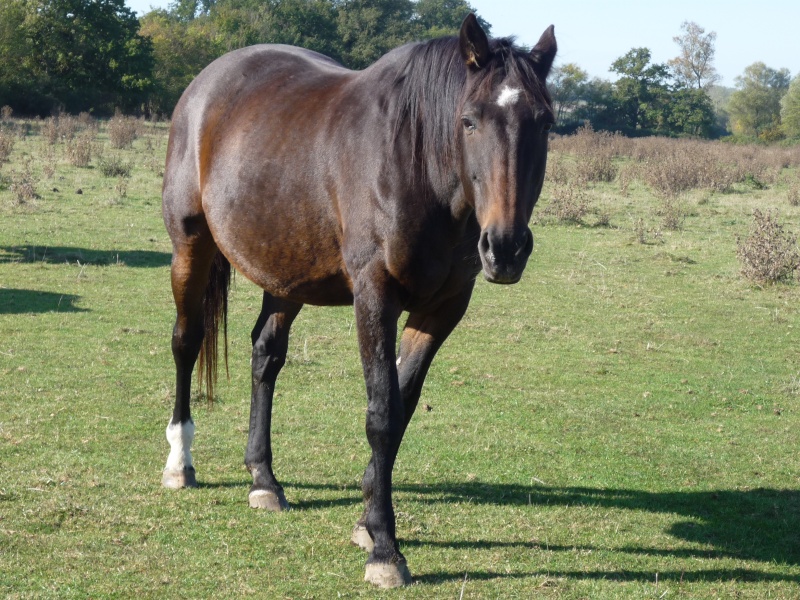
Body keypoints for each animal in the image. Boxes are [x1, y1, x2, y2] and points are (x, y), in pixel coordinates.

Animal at [159, 12, 552, 584]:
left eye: (544, 122)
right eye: (469, 121)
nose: (505, 247)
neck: (415, 162)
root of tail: (204, 85)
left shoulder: (443, 307)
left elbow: (402, 406)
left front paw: (367, 519)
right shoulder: (375, 297)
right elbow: (382, 413)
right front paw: (385, 548)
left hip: (286, 272)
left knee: (265, 357)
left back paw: (263, 479)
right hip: (191, 245)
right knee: (187, 342)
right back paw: (180, 462)